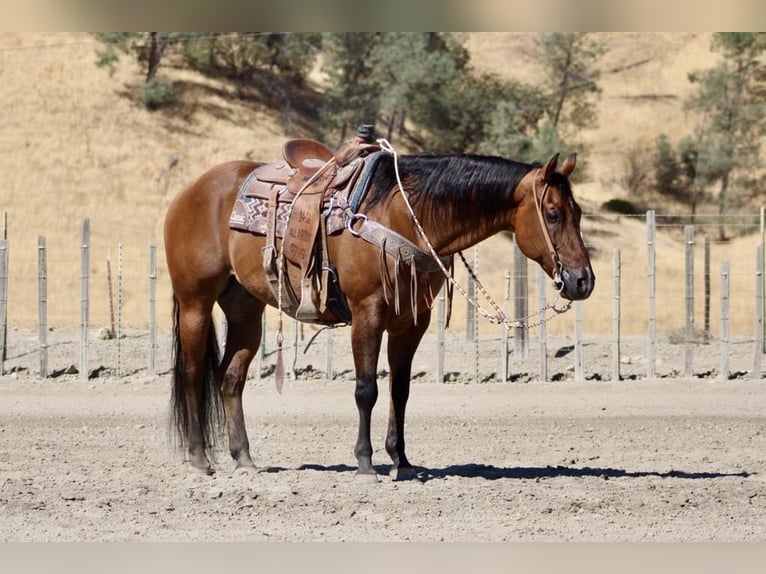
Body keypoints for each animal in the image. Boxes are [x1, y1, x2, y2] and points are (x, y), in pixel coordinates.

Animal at [163, 140, 595, 481]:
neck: (404, 214)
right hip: (195, 303)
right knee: (193, 373)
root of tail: (189, 192)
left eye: (578, 213)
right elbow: (366, 388)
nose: (582, 281)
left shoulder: (411, 323)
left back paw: (244, 459)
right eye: (553, 214)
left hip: (245, 310)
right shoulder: (367, 313)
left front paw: (401, 461)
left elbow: (399, 390)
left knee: (230, 378)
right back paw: (200, 460)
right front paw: (365, 464)